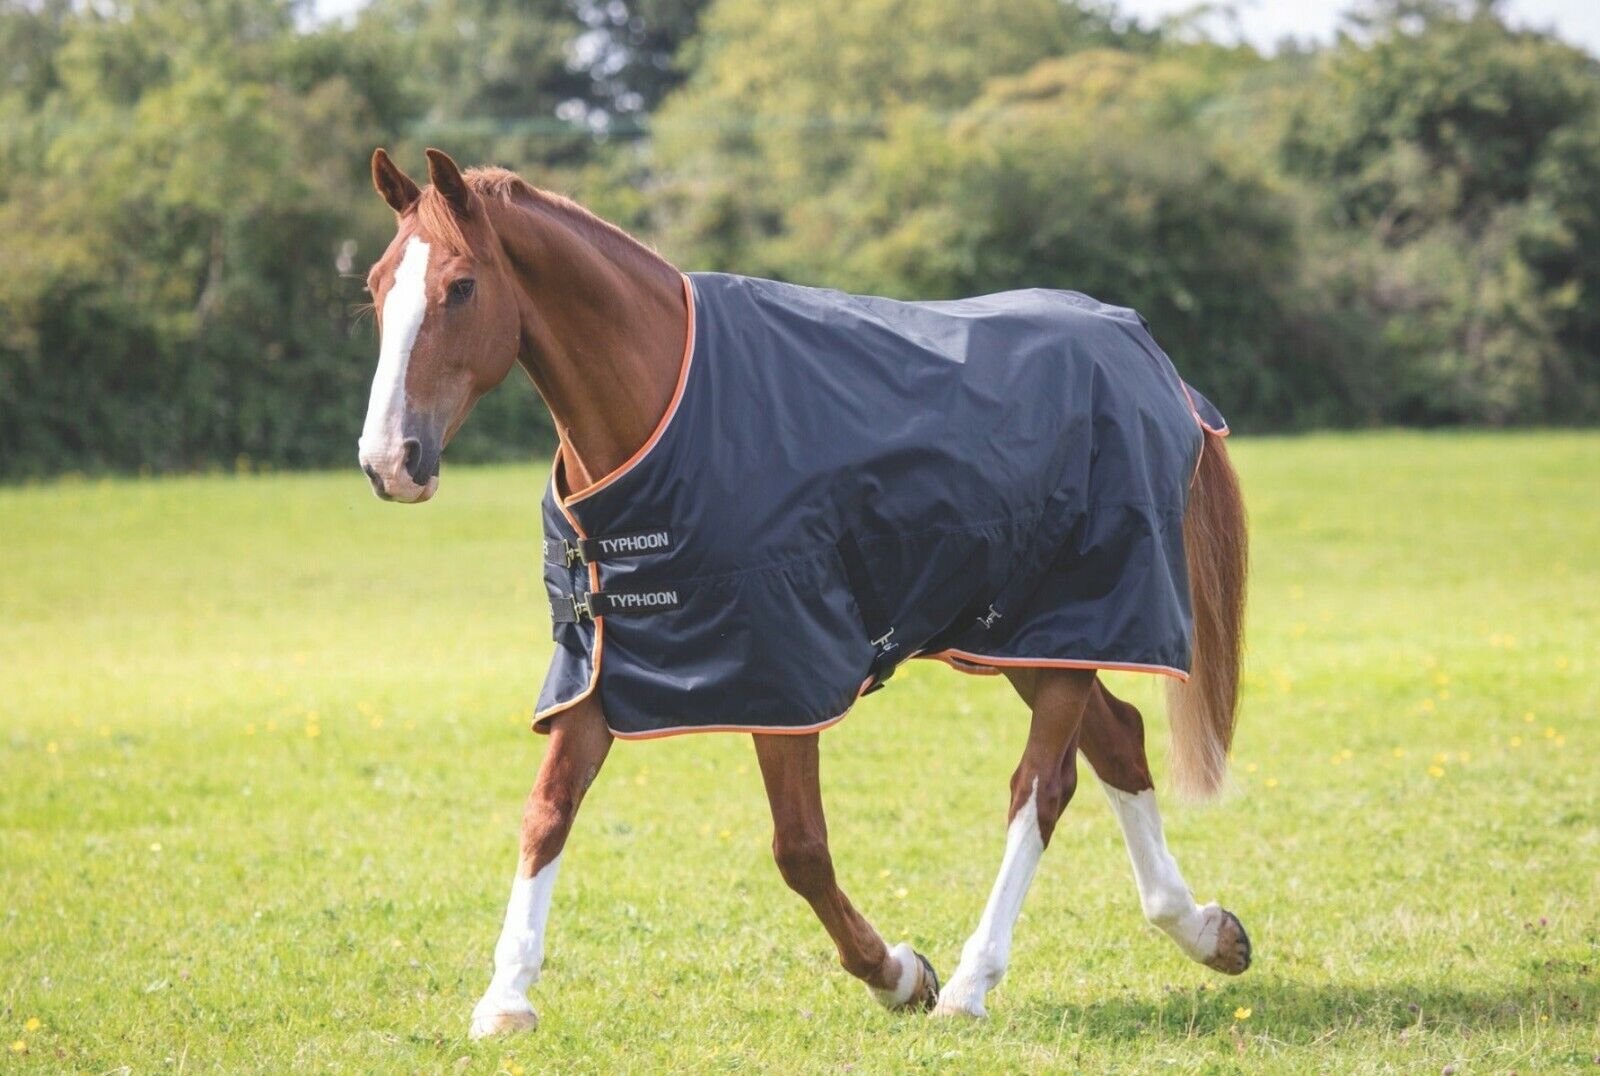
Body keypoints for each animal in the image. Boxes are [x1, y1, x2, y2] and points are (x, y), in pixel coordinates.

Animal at [357, 148, 1251, 1036]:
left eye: (462, 286)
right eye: (375, 286)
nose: (389, 461)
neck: (668, 413)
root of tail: (1148, 357)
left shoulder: (779, 669)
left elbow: (800, 849)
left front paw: (898, 973)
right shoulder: (601, 660)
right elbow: (547, 811)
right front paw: (506, 997)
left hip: (1072, 617)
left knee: (1042, 788)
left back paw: (971, 984)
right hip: (1023, 637)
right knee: (1119, 738)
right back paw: (1204, 929)